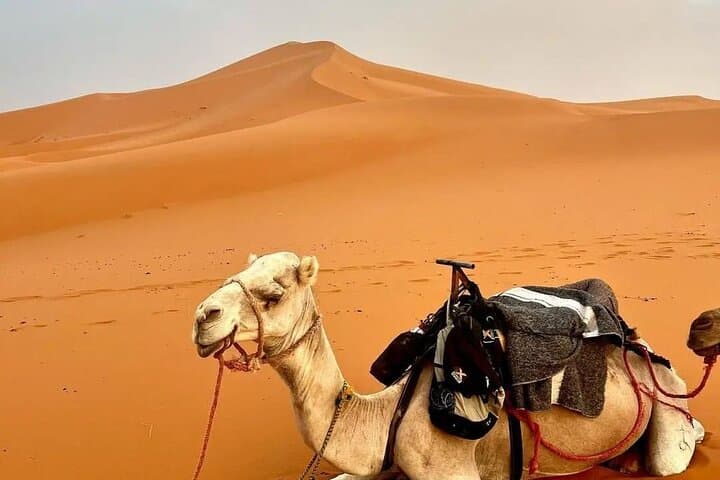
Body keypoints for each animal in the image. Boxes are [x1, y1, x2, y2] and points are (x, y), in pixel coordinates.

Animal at [191, 251, 719, 479]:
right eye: (233, 274)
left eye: (273, 293)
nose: (202, 318)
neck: (387, 415)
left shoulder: (451, 471)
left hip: (665, 404)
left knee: (672, 452)